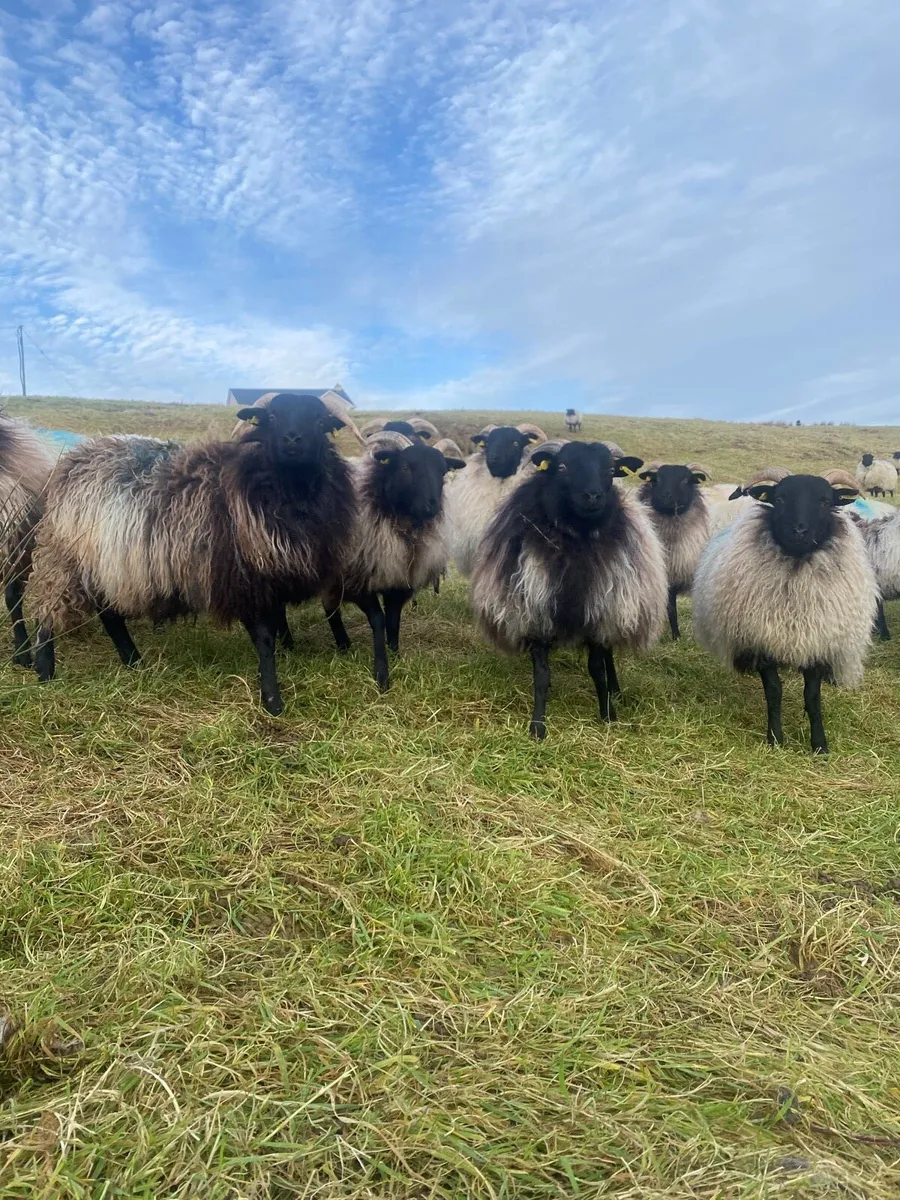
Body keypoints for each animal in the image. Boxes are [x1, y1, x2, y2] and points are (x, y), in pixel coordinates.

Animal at [28, 393, 356, 716]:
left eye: (320, 421)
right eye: (272, 417)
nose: (292, 439)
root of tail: (74, 458)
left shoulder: (274, 574)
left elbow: (280, 621)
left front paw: (289, 655)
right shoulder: (244, 579)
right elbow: (265, 639)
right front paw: (273, 701)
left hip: (105, 565)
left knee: (109, 615)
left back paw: (134, 662)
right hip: (62, 556)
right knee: (48, 610)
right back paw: (45, 673)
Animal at [321, 431, 465, 690]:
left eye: (443, 472)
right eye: (406, 467)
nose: (432, 505)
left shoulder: (399, 581)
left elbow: (393, 621)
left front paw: (395, 655)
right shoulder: (359, 582)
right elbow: (379, 621)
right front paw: (382, 674)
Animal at [470, 440, 666, 738]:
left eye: (610, 470)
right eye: (562, 467)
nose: (593, 495)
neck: (577, 539)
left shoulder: (598, 616)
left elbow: (597, 669)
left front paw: (608, 715)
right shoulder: (535, 615)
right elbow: (541, 676)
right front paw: (537, 726)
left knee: (609, 657)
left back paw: (616, 690)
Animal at [636, 462, 711, 639]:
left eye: (685, 480)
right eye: (657, 479)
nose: (666, 496)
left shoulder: (674, 575)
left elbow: (671, 607)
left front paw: (676, 635)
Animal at [692, 474, 876, 754]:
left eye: (825, 501)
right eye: (779, 499)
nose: (799, 531)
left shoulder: (816, 643)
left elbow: (812, 697)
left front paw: (819, 745)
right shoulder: (763, 641)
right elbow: (774, 692)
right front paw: (775, 739)